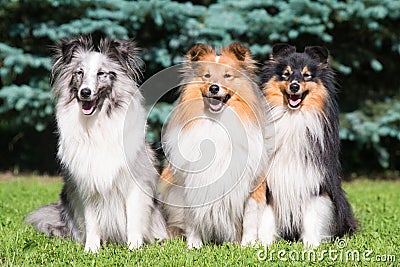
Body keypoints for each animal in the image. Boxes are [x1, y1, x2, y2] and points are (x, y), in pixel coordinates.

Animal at [26, 36, 167, 253]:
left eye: (101, 74)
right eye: (79, 73)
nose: (85, 92)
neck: (97, 123)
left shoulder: (135, 183)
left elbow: (134, 219)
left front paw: (134, 247)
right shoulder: (86, 183)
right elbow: (92, 221)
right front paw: (91, 249)